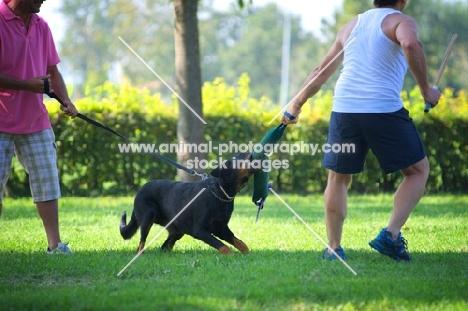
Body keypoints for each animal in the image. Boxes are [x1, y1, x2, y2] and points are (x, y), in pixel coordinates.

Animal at [119, 152, 254, 255]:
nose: (249, 151)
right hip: (148, 217)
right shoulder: (200, 230)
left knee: (165, 246)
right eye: (240, 155)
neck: (220, 192)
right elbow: (223, 246)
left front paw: (248, 255)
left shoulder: (221, 228)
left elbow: (240, 243)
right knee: (141, 244)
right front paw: (231, 256)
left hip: (178, 230)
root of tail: (139, 191)